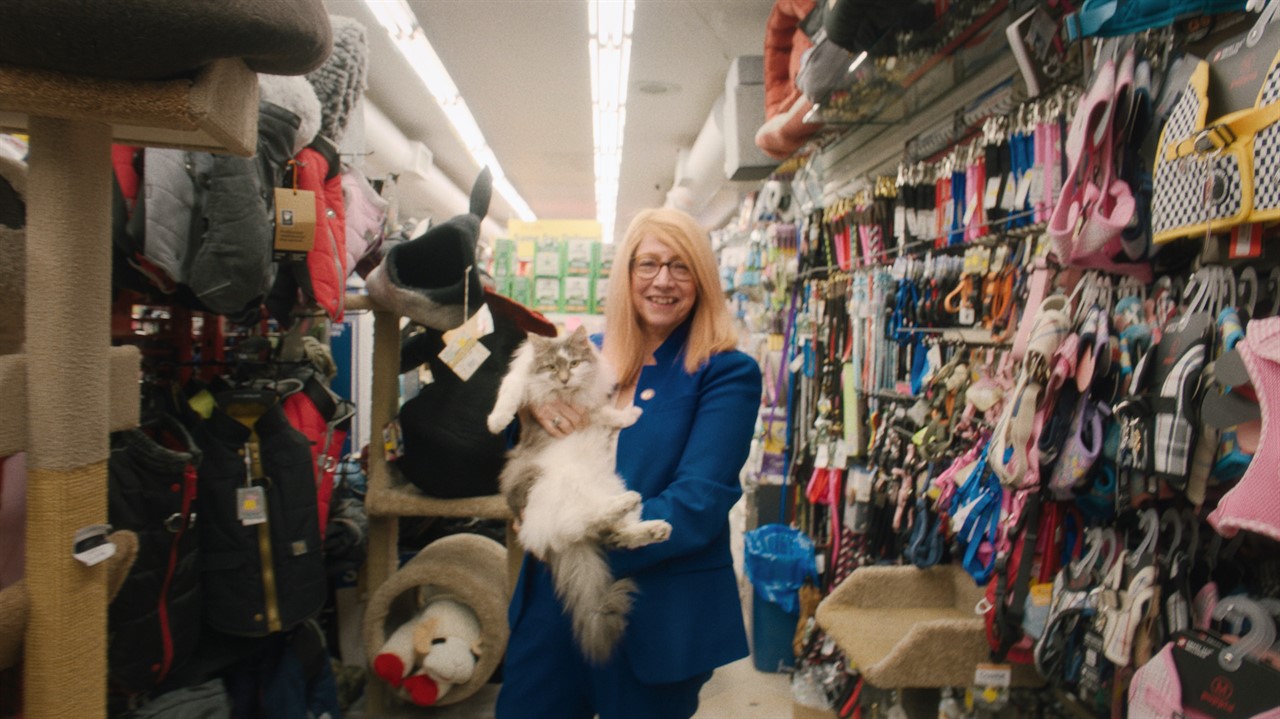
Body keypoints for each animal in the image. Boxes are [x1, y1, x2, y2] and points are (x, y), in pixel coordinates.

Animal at [486, 324, 675, 660]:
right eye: (551, 367)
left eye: (573, 364)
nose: (564, 379)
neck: (566, 395)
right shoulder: (521, 383)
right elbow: (509, 394)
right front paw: (496, 421)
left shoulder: (592, 406)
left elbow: (606, 414)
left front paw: (631, 414)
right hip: (553, 489)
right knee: (587, 523)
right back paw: (629, 505)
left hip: (600, 487)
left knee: (613, 533)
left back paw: (653, 526)